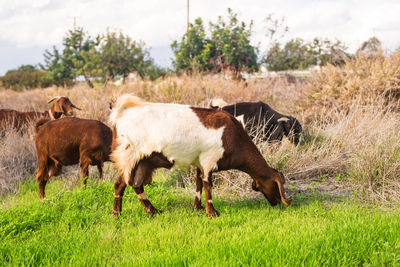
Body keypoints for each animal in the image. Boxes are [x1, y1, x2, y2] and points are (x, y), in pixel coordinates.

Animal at [108, 94, 290, 218]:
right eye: (276, 186)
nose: (278, 203)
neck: (233, 136)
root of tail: (122, 112)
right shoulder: (209, 159)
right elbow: (208, 185)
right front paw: (212, 212)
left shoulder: (199, 162)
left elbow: (198, 184)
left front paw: (198, 207)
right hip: (129, 157)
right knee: (120, 184)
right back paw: (116, 213)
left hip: (143, 162)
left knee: (136, 184)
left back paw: (152, 210)